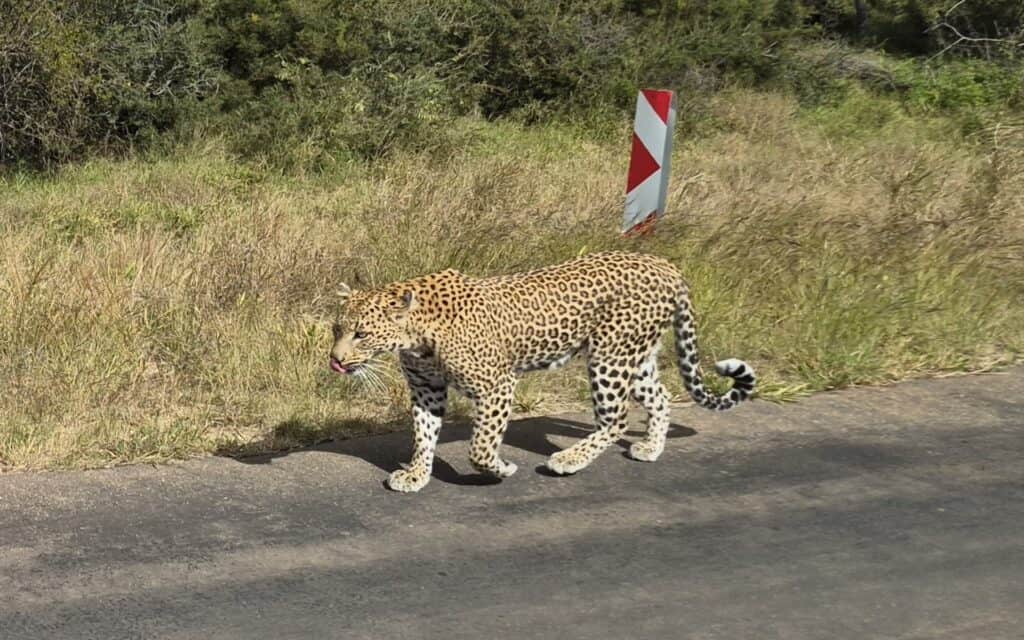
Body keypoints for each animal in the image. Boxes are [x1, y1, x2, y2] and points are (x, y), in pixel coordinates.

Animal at [328, 251, 756, 492]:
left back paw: (569, 460)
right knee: (660, 397)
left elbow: (479, 446)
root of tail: (666, 265)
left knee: (616, 417)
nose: (335, 360)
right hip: (635, 355)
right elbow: (423, 434)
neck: (415, 335)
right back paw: (651, 447)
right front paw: (417, 474)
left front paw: (499, 469)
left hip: (610, 358)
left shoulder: (498, 385)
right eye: (336, 329)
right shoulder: (426, 390)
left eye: (361, 333)